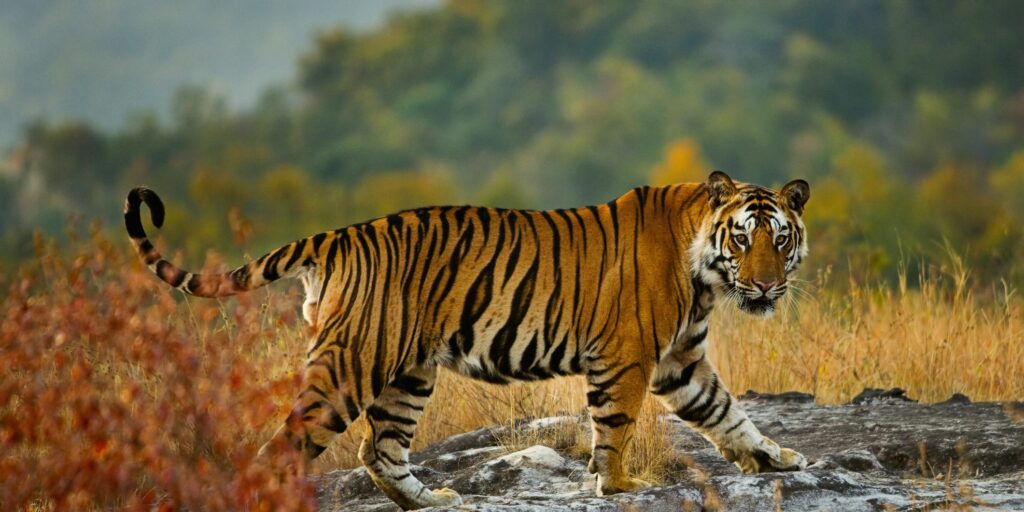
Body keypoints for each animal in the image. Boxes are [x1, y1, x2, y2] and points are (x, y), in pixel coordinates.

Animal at [124, 171, 810, 510]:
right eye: (743, 239)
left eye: (780, 240)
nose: (767, 287)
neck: (706, 275)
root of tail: (338, 235)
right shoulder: (628, 357)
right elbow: (615, 428)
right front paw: (618, 487)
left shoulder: (680, 361)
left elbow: (727, 412)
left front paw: (774, 458)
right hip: (351, 366)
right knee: (286, 446)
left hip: (407, 373)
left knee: (380, 450)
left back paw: (431, 499)